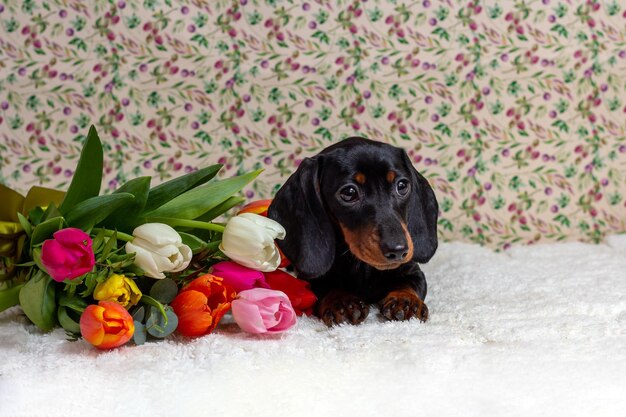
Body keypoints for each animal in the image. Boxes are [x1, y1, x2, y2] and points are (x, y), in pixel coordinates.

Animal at [268, 136, 438, 324]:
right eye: (349, 192)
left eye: (402, 185)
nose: (398, 251)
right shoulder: (312, 280)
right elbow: (326, 286)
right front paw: (342, 301)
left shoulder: (412, 270)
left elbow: (410, 282)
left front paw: (405, 300)